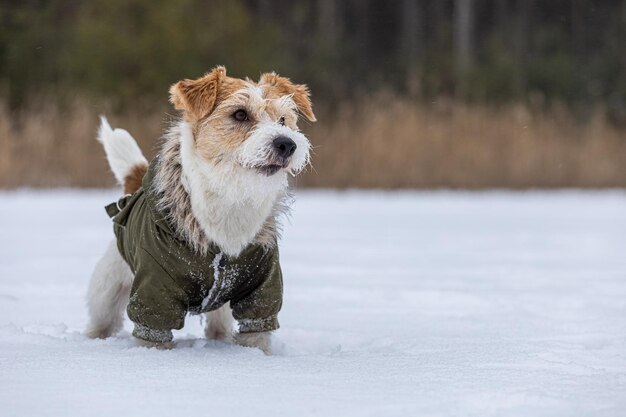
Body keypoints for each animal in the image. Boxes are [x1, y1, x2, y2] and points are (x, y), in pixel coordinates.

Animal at [85, 66, 314, 352]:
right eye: (240, 114)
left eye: (283, 119)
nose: (286, 144)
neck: (231, 198)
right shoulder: (153, 293)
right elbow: (152, 334)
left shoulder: (262, 288)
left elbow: (256, 334)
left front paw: (255, 356)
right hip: (108, 287)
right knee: (102, 318)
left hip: (222, 305)